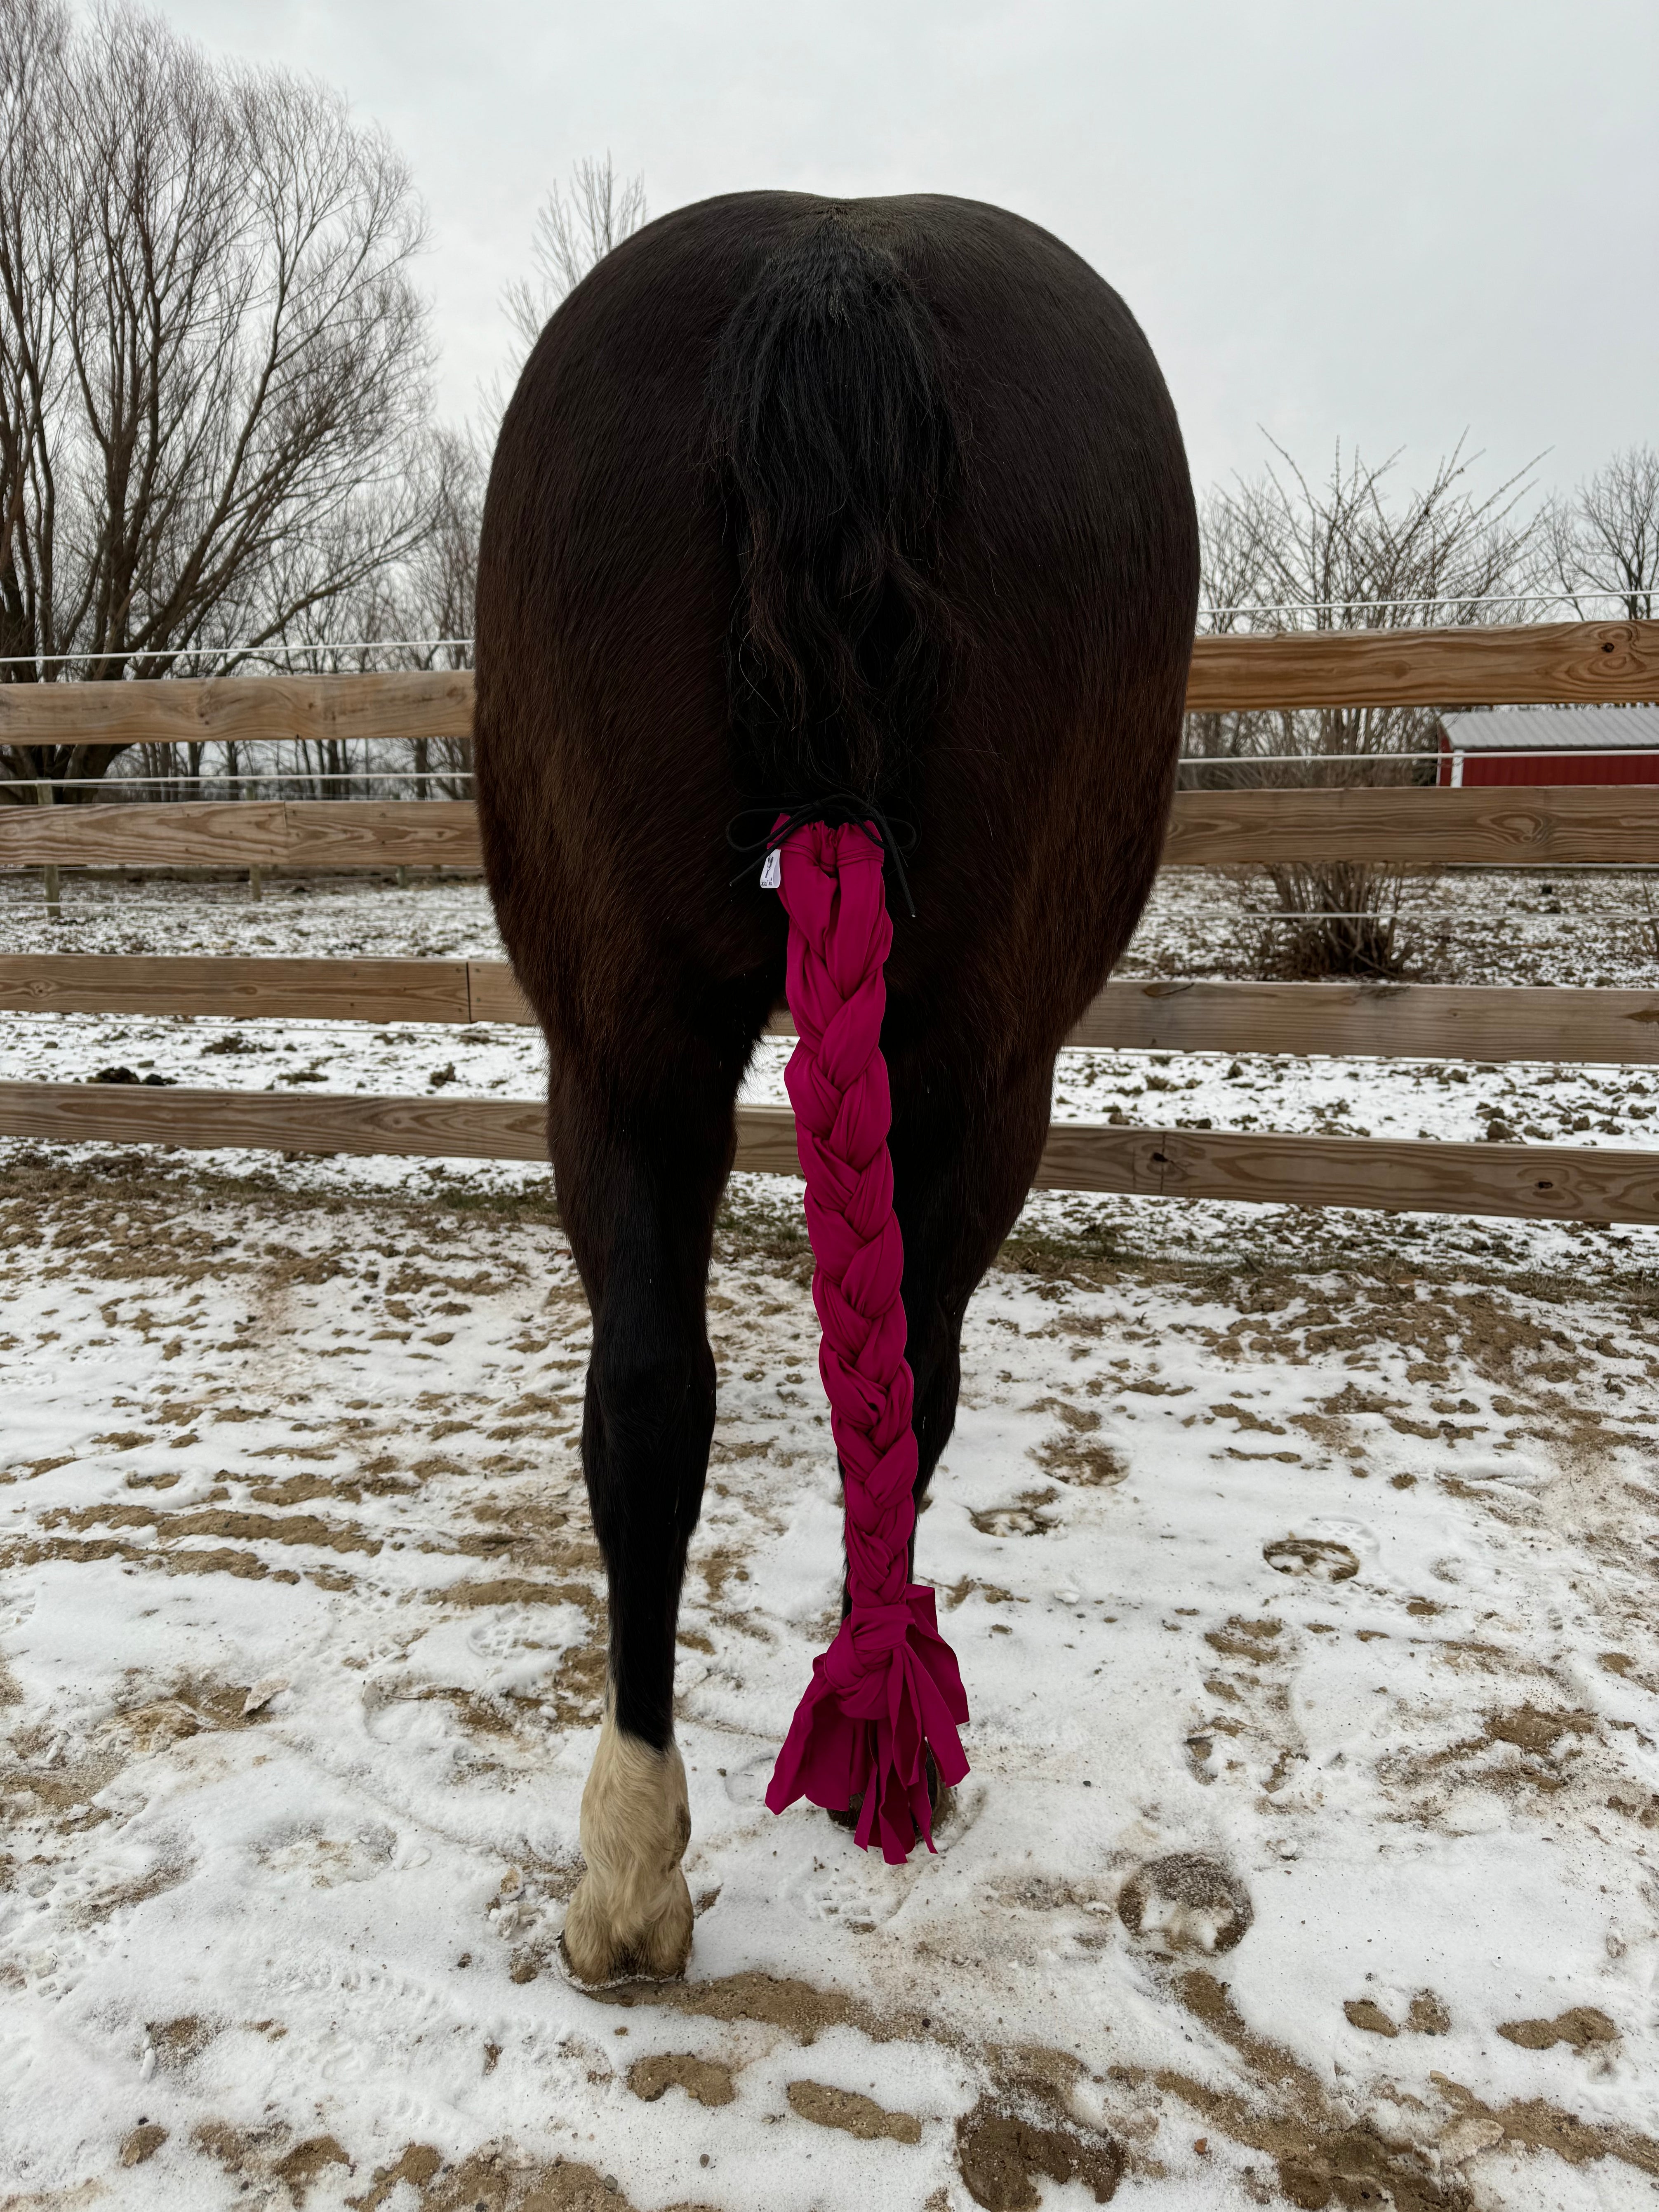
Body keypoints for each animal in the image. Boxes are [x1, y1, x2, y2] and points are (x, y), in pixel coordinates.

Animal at [473, 195, 1203, 1991]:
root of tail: (831, 261)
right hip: (966, 1072)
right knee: (900, 1386)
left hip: (622, 1045)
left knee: (651, 1401)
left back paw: (631, 1868)